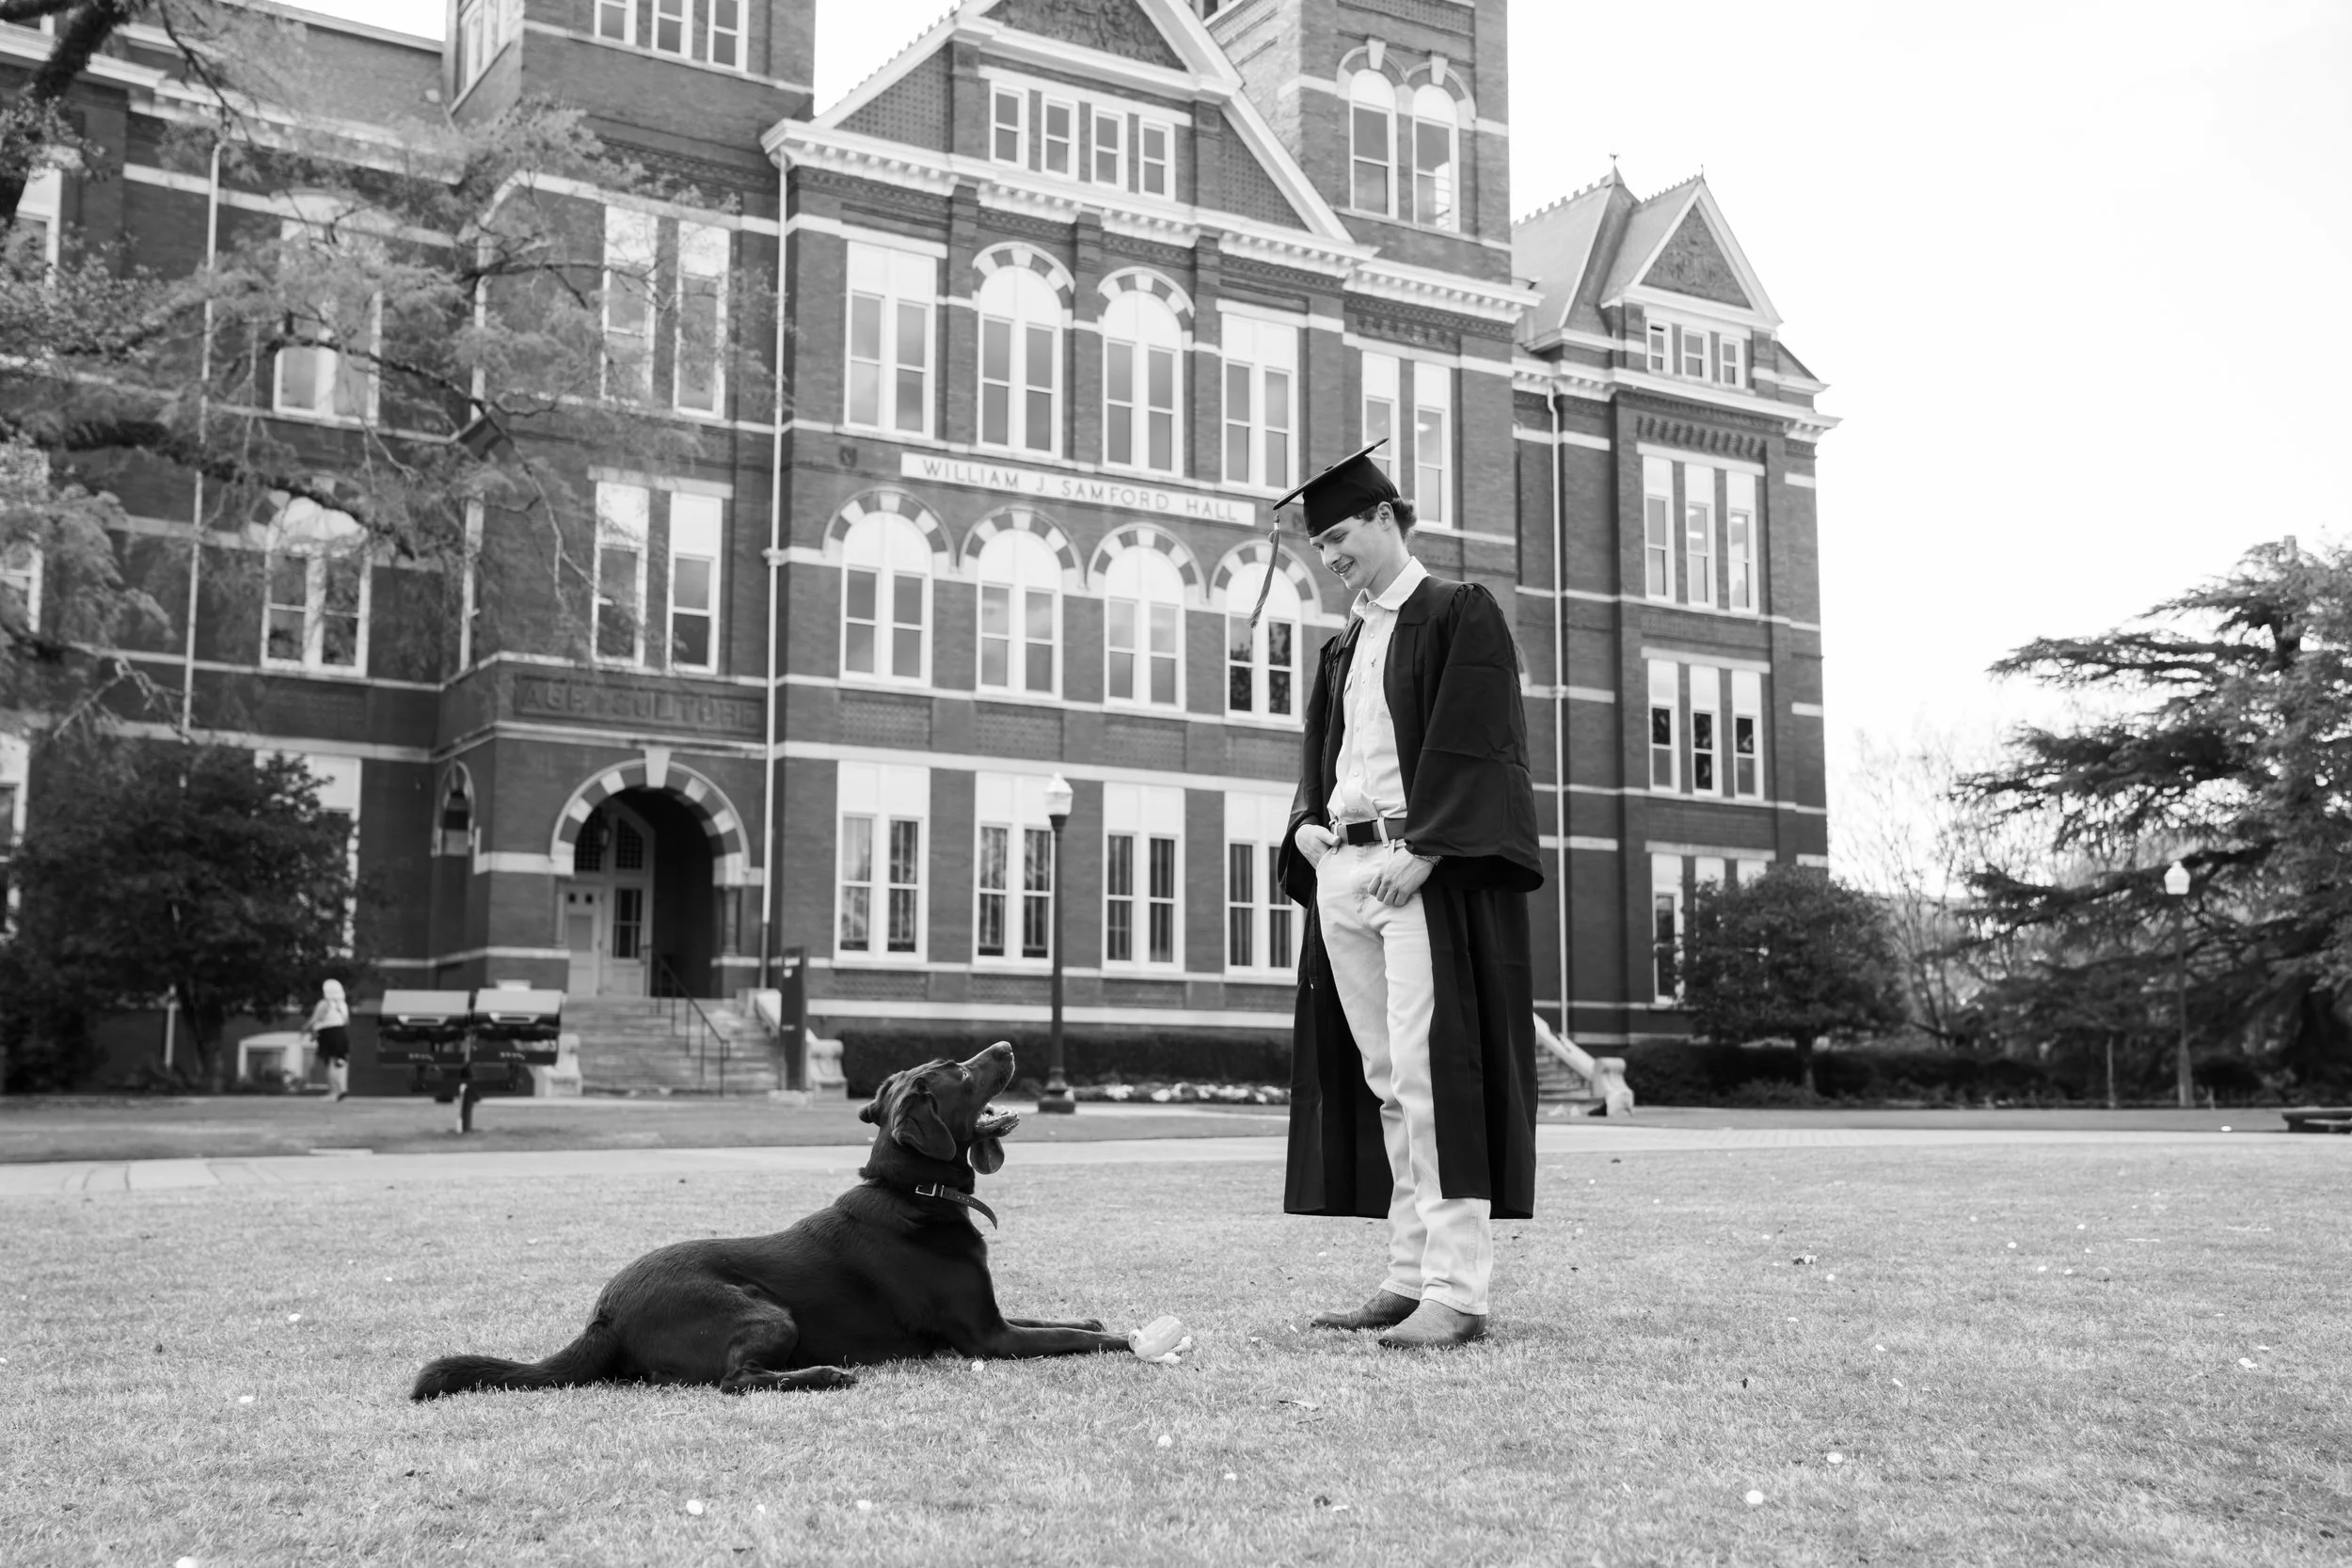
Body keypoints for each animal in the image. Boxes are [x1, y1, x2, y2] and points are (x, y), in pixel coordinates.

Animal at [410, 1042, 1133, 1398]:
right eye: (960, 1068)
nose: (1007, 1043)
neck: (915, 1189)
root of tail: (604, 1313)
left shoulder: (994, 1316)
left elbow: (1058, 1320)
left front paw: (1094, 1318)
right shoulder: (988, 1337)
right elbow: (1064, 1339)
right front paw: (1127, 1339)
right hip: (767, 1313)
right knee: (734, 1383)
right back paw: (823, 1377)